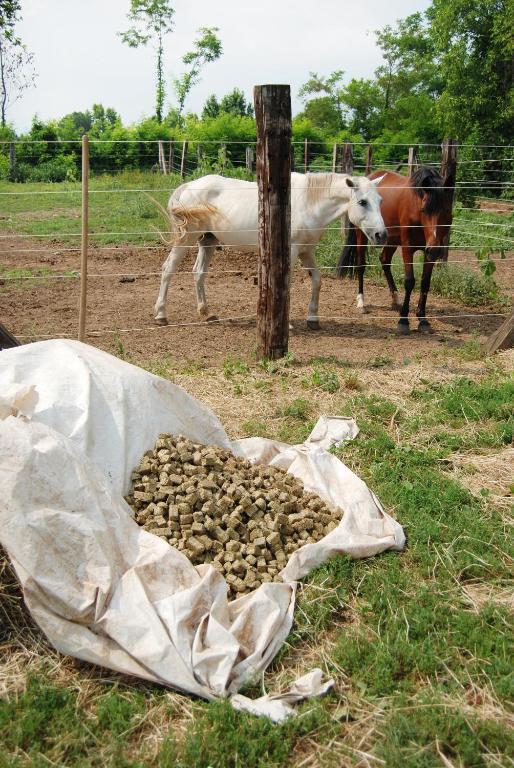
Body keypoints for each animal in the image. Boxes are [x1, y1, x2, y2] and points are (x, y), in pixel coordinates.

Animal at [153, 172, 384, 328]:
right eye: (362, 202)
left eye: (380, 201)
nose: (382, 235)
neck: (309, 202)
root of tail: (188, 186)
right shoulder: (291, 252)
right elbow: (286, 285)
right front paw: (287, 324)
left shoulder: (306, 252)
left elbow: (317, 282)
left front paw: (313, 319)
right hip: (186, 239)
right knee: (168, 269)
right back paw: (161, 315)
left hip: (208, 241)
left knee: (198, 273)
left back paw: (207, 313)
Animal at [338, 168, 450, 332]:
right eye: (424, 210)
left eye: (446, 211)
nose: (435, 250)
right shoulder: (408, 248)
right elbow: (409, 281)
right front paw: (403, 321)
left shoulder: (429, 252)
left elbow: (425, 283)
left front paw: (423, 319)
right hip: (362, 235)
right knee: (361, 265)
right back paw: (362, 302)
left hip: (389, 238)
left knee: (384, 260)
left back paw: (395, 298)